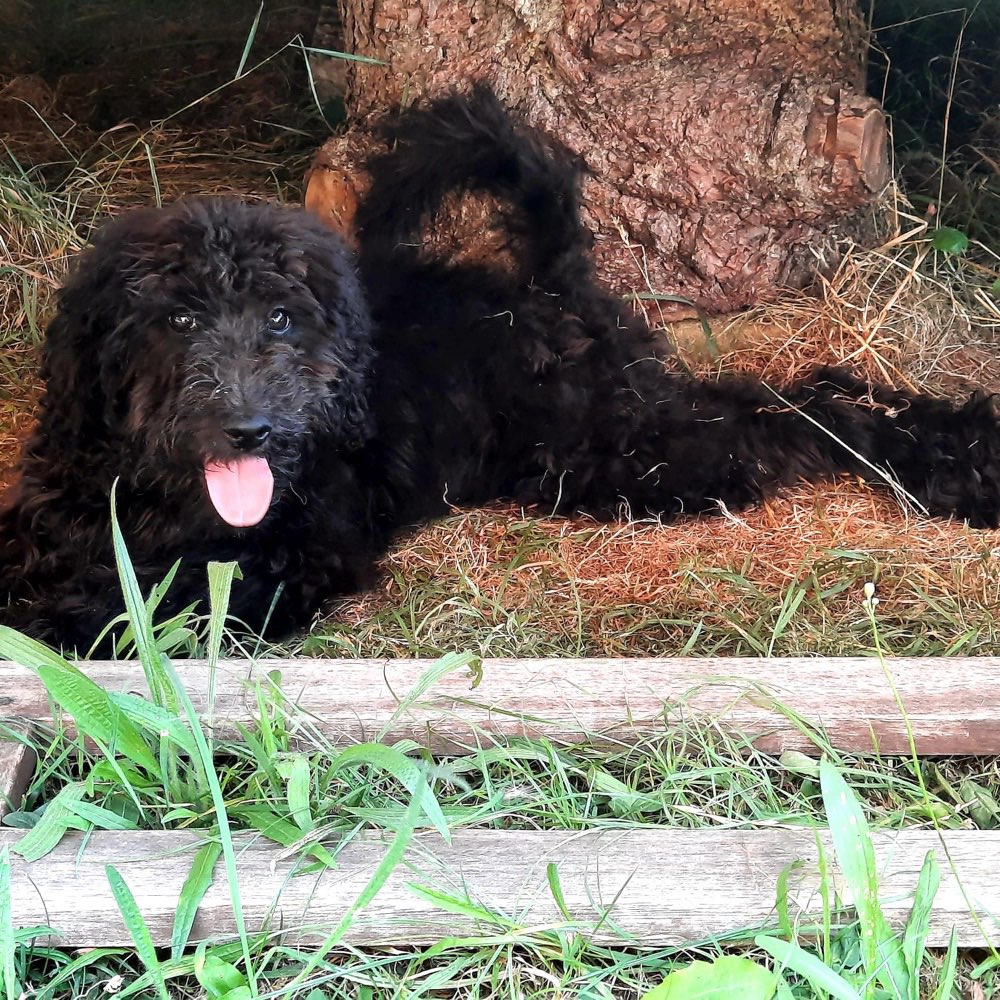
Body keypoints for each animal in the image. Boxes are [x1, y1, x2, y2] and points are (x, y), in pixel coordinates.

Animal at [1, 88, 1000, 656]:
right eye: (177, 318)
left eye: (282, 317)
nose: (251, 427)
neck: (162, 497)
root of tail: (546, 283)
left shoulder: (297, 553)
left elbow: (153, 609)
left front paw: (59, 626)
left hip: (623, 455)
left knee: (793, 408)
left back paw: (958, 461)